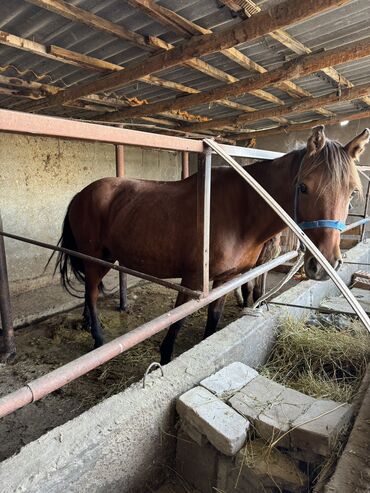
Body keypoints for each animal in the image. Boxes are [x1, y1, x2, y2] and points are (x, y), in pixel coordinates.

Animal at [52, 127, 368, 364]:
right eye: (304, 187)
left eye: (353, 192)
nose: (325, 263)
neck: (241, 211)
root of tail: (81, 193)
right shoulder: (193, 280)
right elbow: (177, 322)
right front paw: (164, 358)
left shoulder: (228, 278)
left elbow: (214, 318)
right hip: (94, 258)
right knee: (92, 294)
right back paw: (98, 338)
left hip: (105, 258)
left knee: (89, 292)